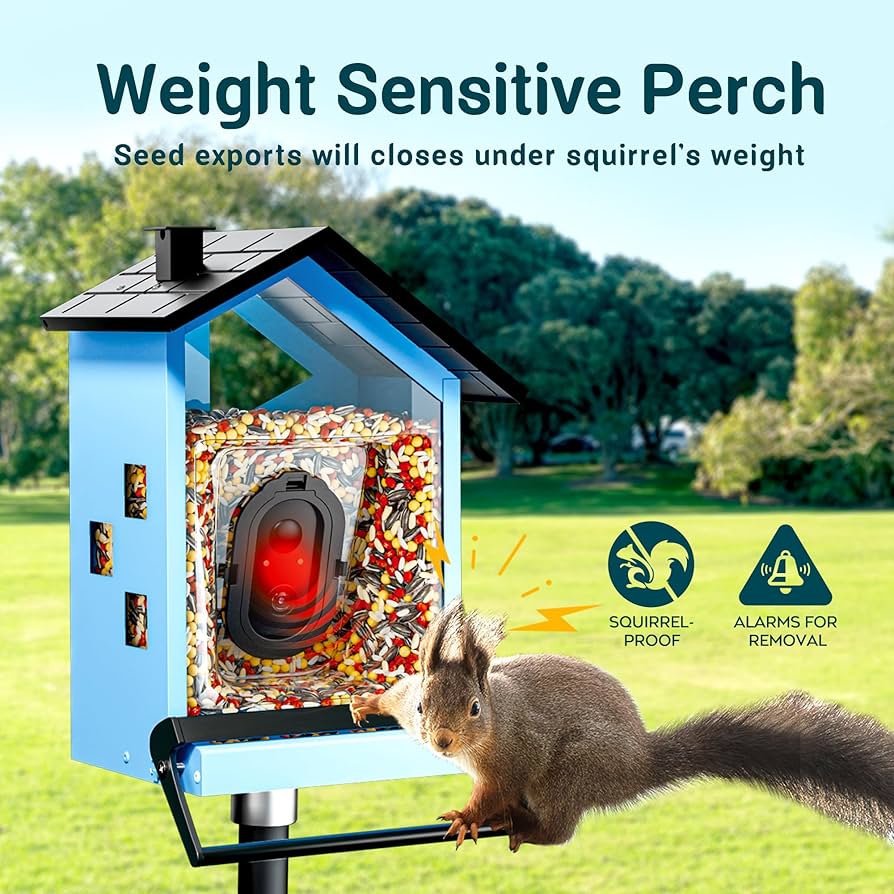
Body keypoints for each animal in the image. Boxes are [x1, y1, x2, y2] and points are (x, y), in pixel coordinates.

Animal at [350, 599, 894, 851]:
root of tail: (640, 766)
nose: (442, 742)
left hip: (570, 772)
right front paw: (366, 701)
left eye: (474, 710)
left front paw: (468, 817)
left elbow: (493, 788)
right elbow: (391, 696)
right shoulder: (409, 699)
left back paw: (524, 825)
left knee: (558, 829)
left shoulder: (511, 755)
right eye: (422, 709)